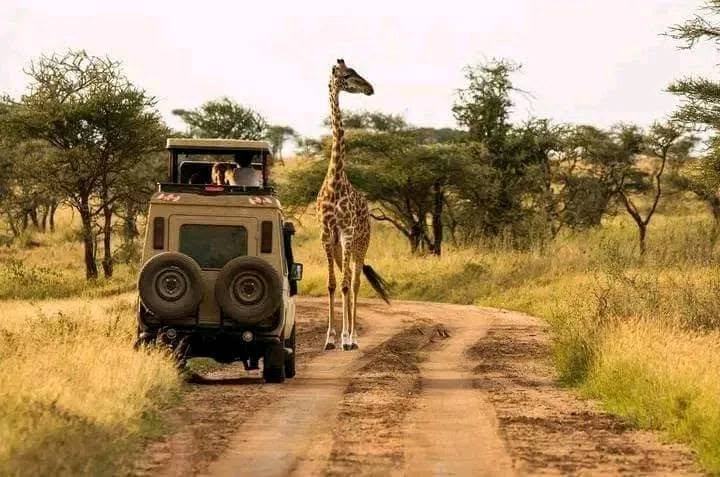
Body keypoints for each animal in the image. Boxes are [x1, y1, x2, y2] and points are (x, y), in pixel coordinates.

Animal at [317, 58, 390, 351]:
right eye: (348, 75)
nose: (370, 88)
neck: (335, 180)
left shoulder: (347, 233)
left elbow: (348, 284)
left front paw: (346, 338)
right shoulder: (327, 235)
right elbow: (332, 284)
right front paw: (329, 338)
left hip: (360, 245)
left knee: (356, 282)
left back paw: (354, 338)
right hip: (340, 248)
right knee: (345, 278)